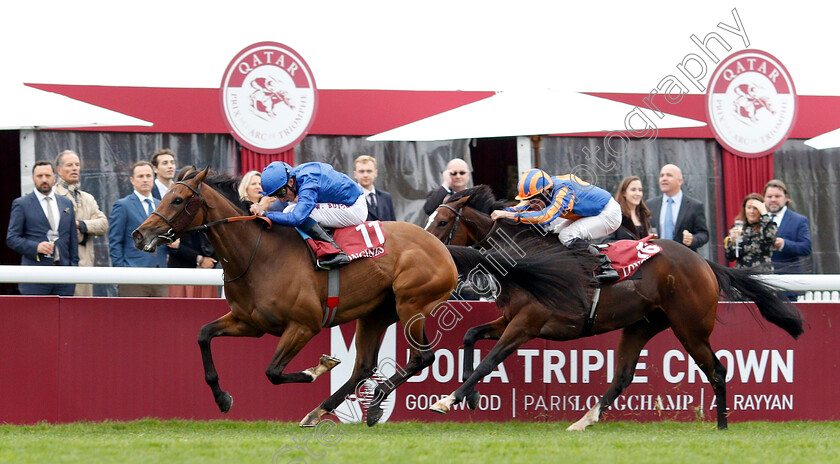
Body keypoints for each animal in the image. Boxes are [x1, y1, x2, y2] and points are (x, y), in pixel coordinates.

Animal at [134, 169, 456, 426]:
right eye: (163, 196)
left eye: (177, 200)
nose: (139, 234)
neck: (259, 255)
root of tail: (441, 247)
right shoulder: (248, 323)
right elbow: (203, 335)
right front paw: (222, 398)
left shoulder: (304, 326)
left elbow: (273, 372)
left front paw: (318, 368)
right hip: (375, 313)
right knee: (364, 366)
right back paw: (323, 411)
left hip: (411, 304)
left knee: (423, 356)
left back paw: (374, 401)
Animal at [426, 186, 800, 432]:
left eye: (442, 221)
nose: (428, 247)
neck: (529, 258)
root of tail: (703, 262)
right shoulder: (508, 318)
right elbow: (471, 335)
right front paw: (470, 396)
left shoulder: (527, 323)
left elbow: (489, 361)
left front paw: (447, 400)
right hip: (642, 323)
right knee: (623, 376)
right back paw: (584, 420)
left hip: (690, 328)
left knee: (718, 370)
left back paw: (722, 427)